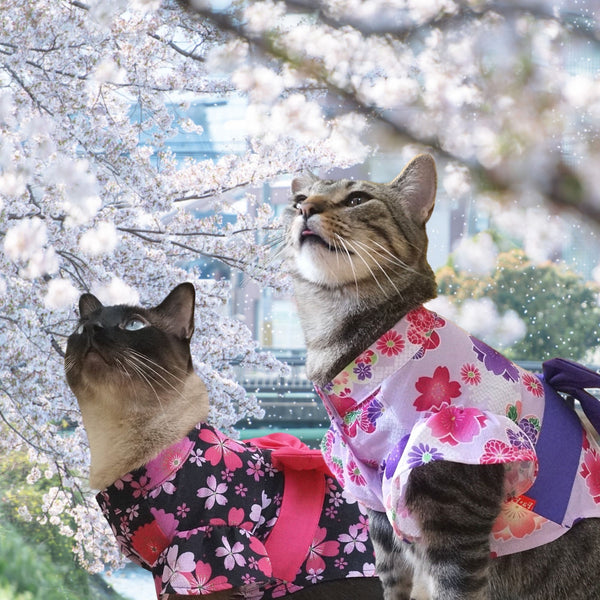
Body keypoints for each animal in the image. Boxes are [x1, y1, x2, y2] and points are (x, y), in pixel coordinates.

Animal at [284, 155, 600, 600]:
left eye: (358, 198)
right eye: (297, 199)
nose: (305, 208)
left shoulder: (454, 512)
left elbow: (452, 588)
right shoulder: (378, 510)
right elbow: (393, 579)